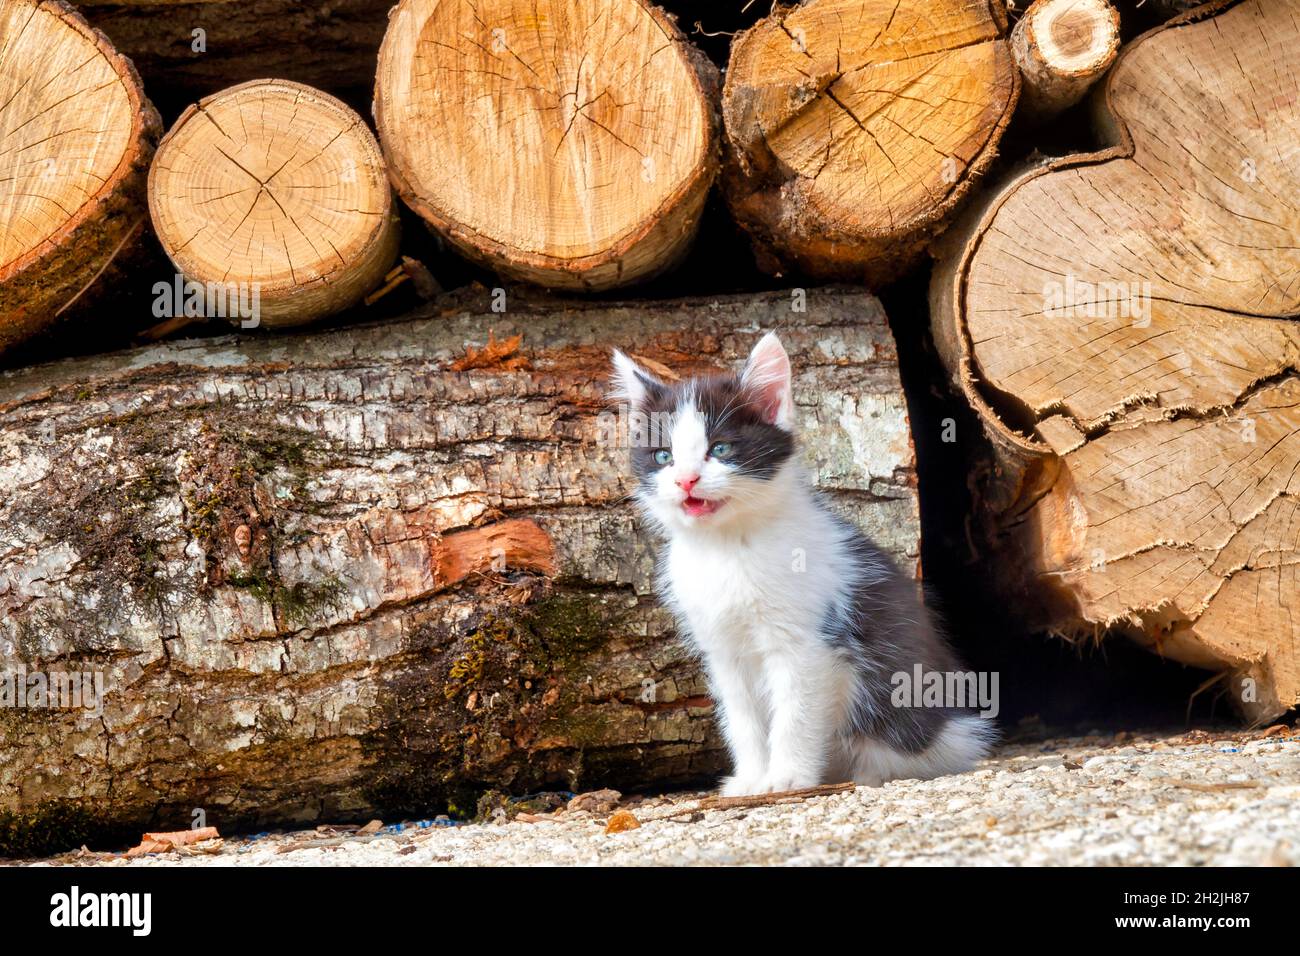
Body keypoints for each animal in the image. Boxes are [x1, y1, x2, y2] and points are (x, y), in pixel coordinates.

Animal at [613, 332, 987, 796]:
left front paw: (787, 777)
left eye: (721, 449)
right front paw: (751, 778)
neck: (729, 545)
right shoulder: (723, 649)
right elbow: (741, 715)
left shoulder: (807, 642)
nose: (686, 480)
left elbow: (796, 712)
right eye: (663, 457)